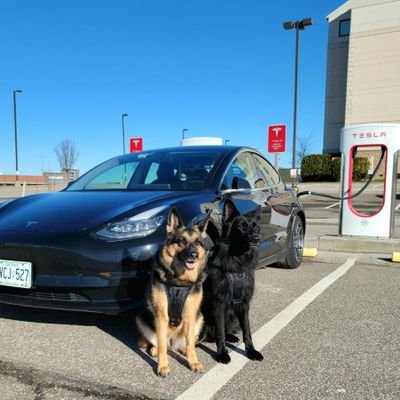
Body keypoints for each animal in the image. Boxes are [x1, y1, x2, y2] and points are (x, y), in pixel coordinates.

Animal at [202, 199, 264, 362]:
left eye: (256, 227)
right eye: (242, 227)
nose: (257, 238)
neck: (237, 260)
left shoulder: (244, 303)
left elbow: (247, 330)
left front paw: (251, 351)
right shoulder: (218, 304)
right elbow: (220, 332)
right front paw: (222, 353)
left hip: (233, 316)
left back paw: (231, 336)